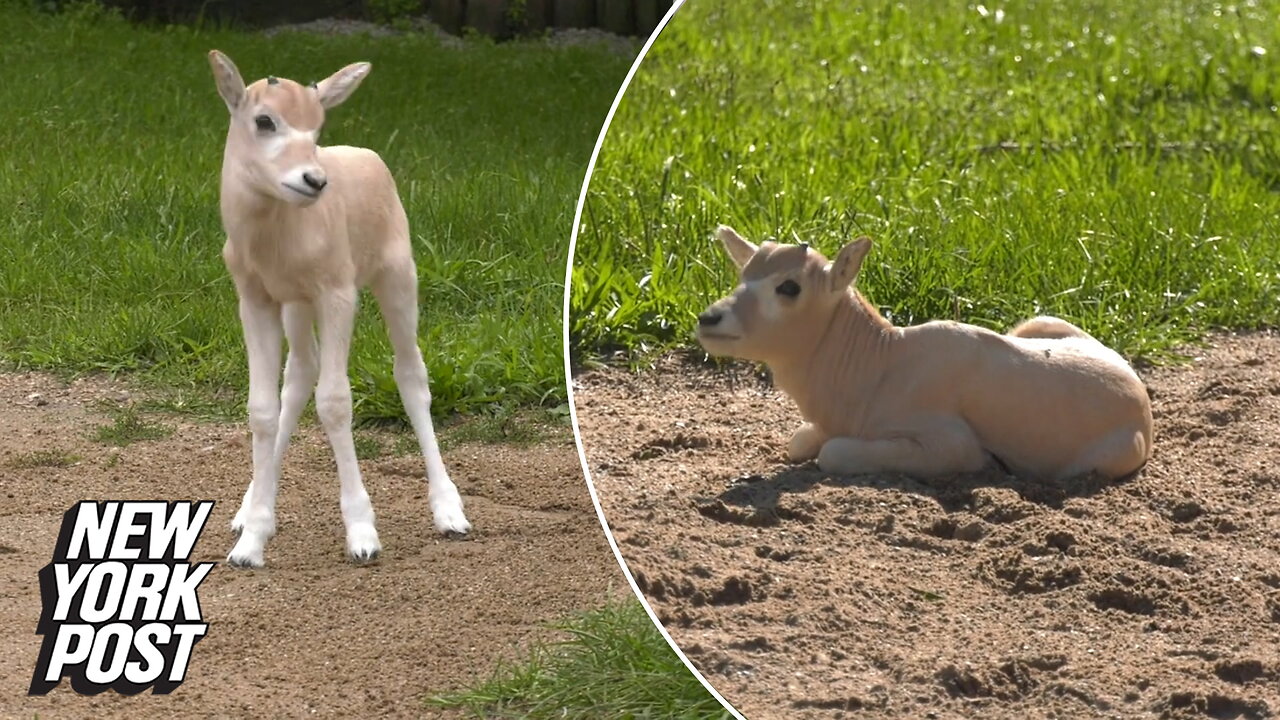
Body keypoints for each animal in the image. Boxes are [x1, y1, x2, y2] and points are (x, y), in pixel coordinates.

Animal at [209, 50, 471, 566]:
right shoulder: (255, 297)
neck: (274, 237)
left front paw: (362, 533)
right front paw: (251, 540)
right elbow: (262, 408)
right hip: (296, 305)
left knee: (410, 373)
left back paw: (450, 511)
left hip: (397, 276)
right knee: (299, 374)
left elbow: (334, 402)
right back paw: (247, 508)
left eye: (317, 127)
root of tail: (369, 157)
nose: (314, 180)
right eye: (264, 120)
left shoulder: (337, 293)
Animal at [696, 226, 1157, 479]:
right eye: (743, 275)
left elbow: (832, 452)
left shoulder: (951, 446)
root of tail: (1134, 387)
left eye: (789, 286)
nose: (708, 319)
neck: (884, 362)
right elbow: (801, 442)